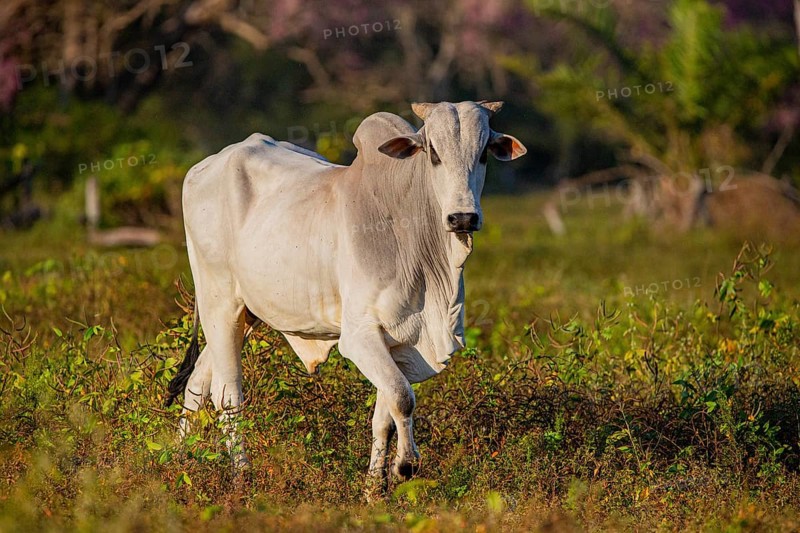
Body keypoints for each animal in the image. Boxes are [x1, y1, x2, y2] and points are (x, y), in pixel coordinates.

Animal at [166, 100, 527, 496]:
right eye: (433, 153)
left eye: (484, 154)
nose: (463, 218)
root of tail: (202, 167)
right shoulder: (360, 335)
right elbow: (403, 398)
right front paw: (406, 465)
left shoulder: (401, 344)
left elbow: (386, 413)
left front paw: (374, 488)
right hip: (218, 301)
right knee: (228, 394)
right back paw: (241, 476)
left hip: (245, 313)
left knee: (197, 383)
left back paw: (178, 462)